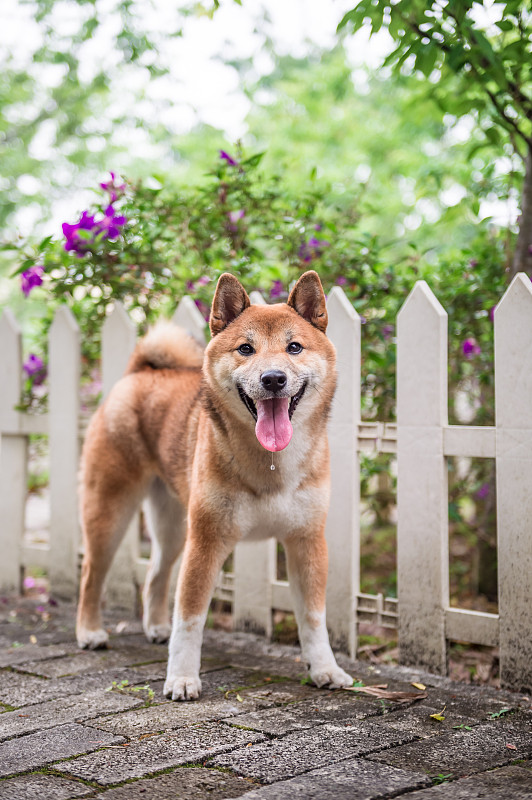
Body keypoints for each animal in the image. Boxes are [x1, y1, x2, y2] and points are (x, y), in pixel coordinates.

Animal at [76, 272, 354, 696]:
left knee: (155, 574)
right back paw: (90, 632)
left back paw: (156, 627)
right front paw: (181, 677)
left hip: (173, 527)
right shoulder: (206, 541)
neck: (270, 463)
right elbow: (190, 618)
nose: (273, 378)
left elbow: (313, 618)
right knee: (92, 573)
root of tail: (141, 372)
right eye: (245, 348)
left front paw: (325, 668)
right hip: (110, 513)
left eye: (294, 347)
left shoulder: (307, 541)